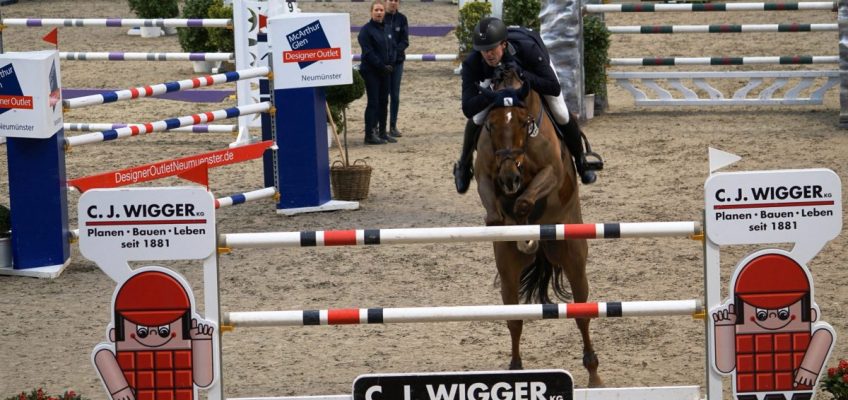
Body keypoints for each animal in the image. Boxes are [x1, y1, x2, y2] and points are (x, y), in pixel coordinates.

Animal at [476, 66, 604, 388]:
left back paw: (594, 375)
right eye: (491, 125)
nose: (509, 177)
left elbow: (527, 199)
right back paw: (515, 369)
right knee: (514, 318)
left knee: (582, 314)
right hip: (508, 272)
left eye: (524, 122)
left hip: (573, 259)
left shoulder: (551, 173)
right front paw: (508, 221)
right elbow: (494, 214)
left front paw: (522, 218)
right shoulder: (485, 173)